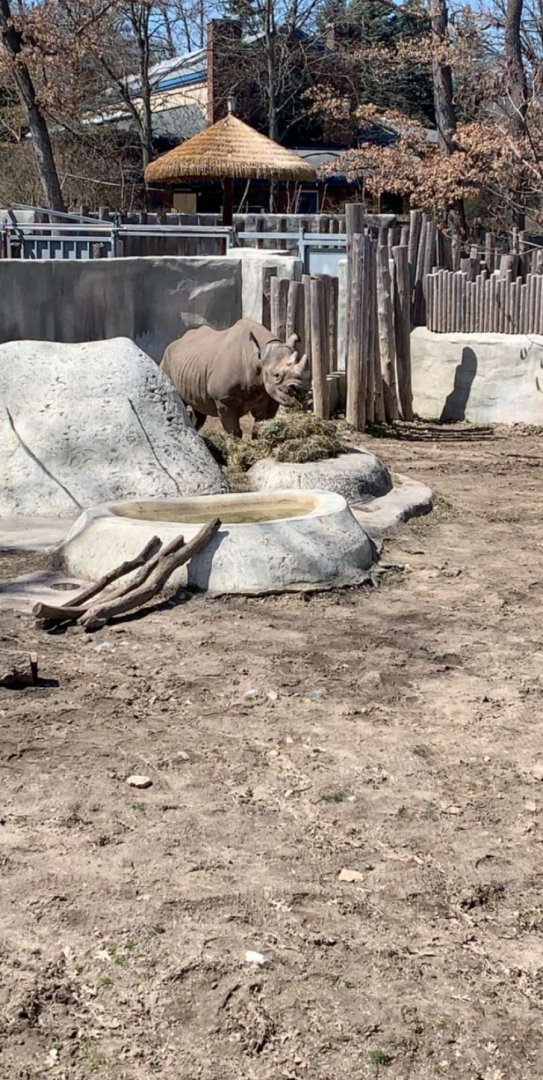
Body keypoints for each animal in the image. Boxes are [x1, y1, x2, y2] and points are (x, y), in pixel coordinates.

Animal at [160, 318, 308, 437]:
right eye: (276, 376)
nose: (298, 389)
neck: (257, 359)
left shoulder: (264, 395)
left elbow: (259, 428)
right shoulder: (224, 399)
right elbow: (234, 432)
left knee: (198, 411)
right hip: (166, 360)